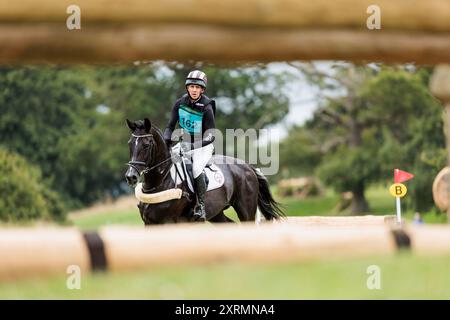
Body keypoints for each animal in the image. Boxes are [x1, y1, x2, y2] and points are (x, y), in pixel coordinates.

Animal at [125, 117, 284, 225]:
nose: (131, 177)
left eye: (146, 145)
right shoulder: (150, 224)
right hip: (217, 214)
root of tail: (248, 167)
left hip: (246, 211)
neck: (160, 182)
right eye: (130, 144)